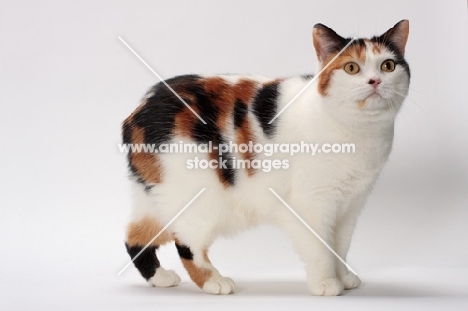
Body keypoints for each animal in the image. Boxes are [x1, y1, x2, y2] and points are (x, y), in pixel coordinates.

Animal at [120, 19, 410, 298]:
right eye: (351, 68)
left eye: (388, 66)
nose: (375, 81)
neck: (360, 132)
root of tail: (140, 110)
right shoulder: (311, 204)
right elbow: (319, 248)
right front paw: (326, 283)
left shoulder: (351, 205)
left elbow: (340, 245)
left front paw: (344, 278)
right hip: (197, 197)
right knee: (187, 243)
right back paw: (214, 281)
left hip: (158, 196)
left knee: (134, 236)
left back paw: (160, 278)